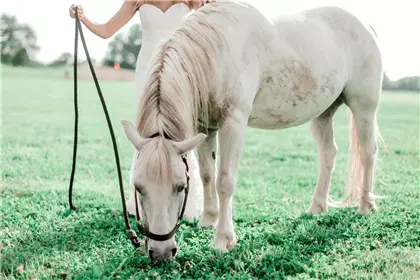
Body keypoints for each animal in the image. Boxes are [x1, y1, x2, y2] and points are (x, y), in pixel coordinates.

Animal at [120, 0, 380, 260]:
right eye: (138, 187)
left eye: (180, 187)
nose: (161, 253)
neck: (215, 52)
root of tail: (366, 25)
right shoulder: (206, 127)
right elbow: (207, 174)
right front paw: (208, 220)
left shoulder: (233, 122)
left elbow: (224, 181)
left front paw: (222, 239)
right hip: (323, 113)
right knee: (328, 154)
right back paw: (317, 207)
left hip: (364, 108)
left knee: (368, 153)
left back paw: (365, 206)